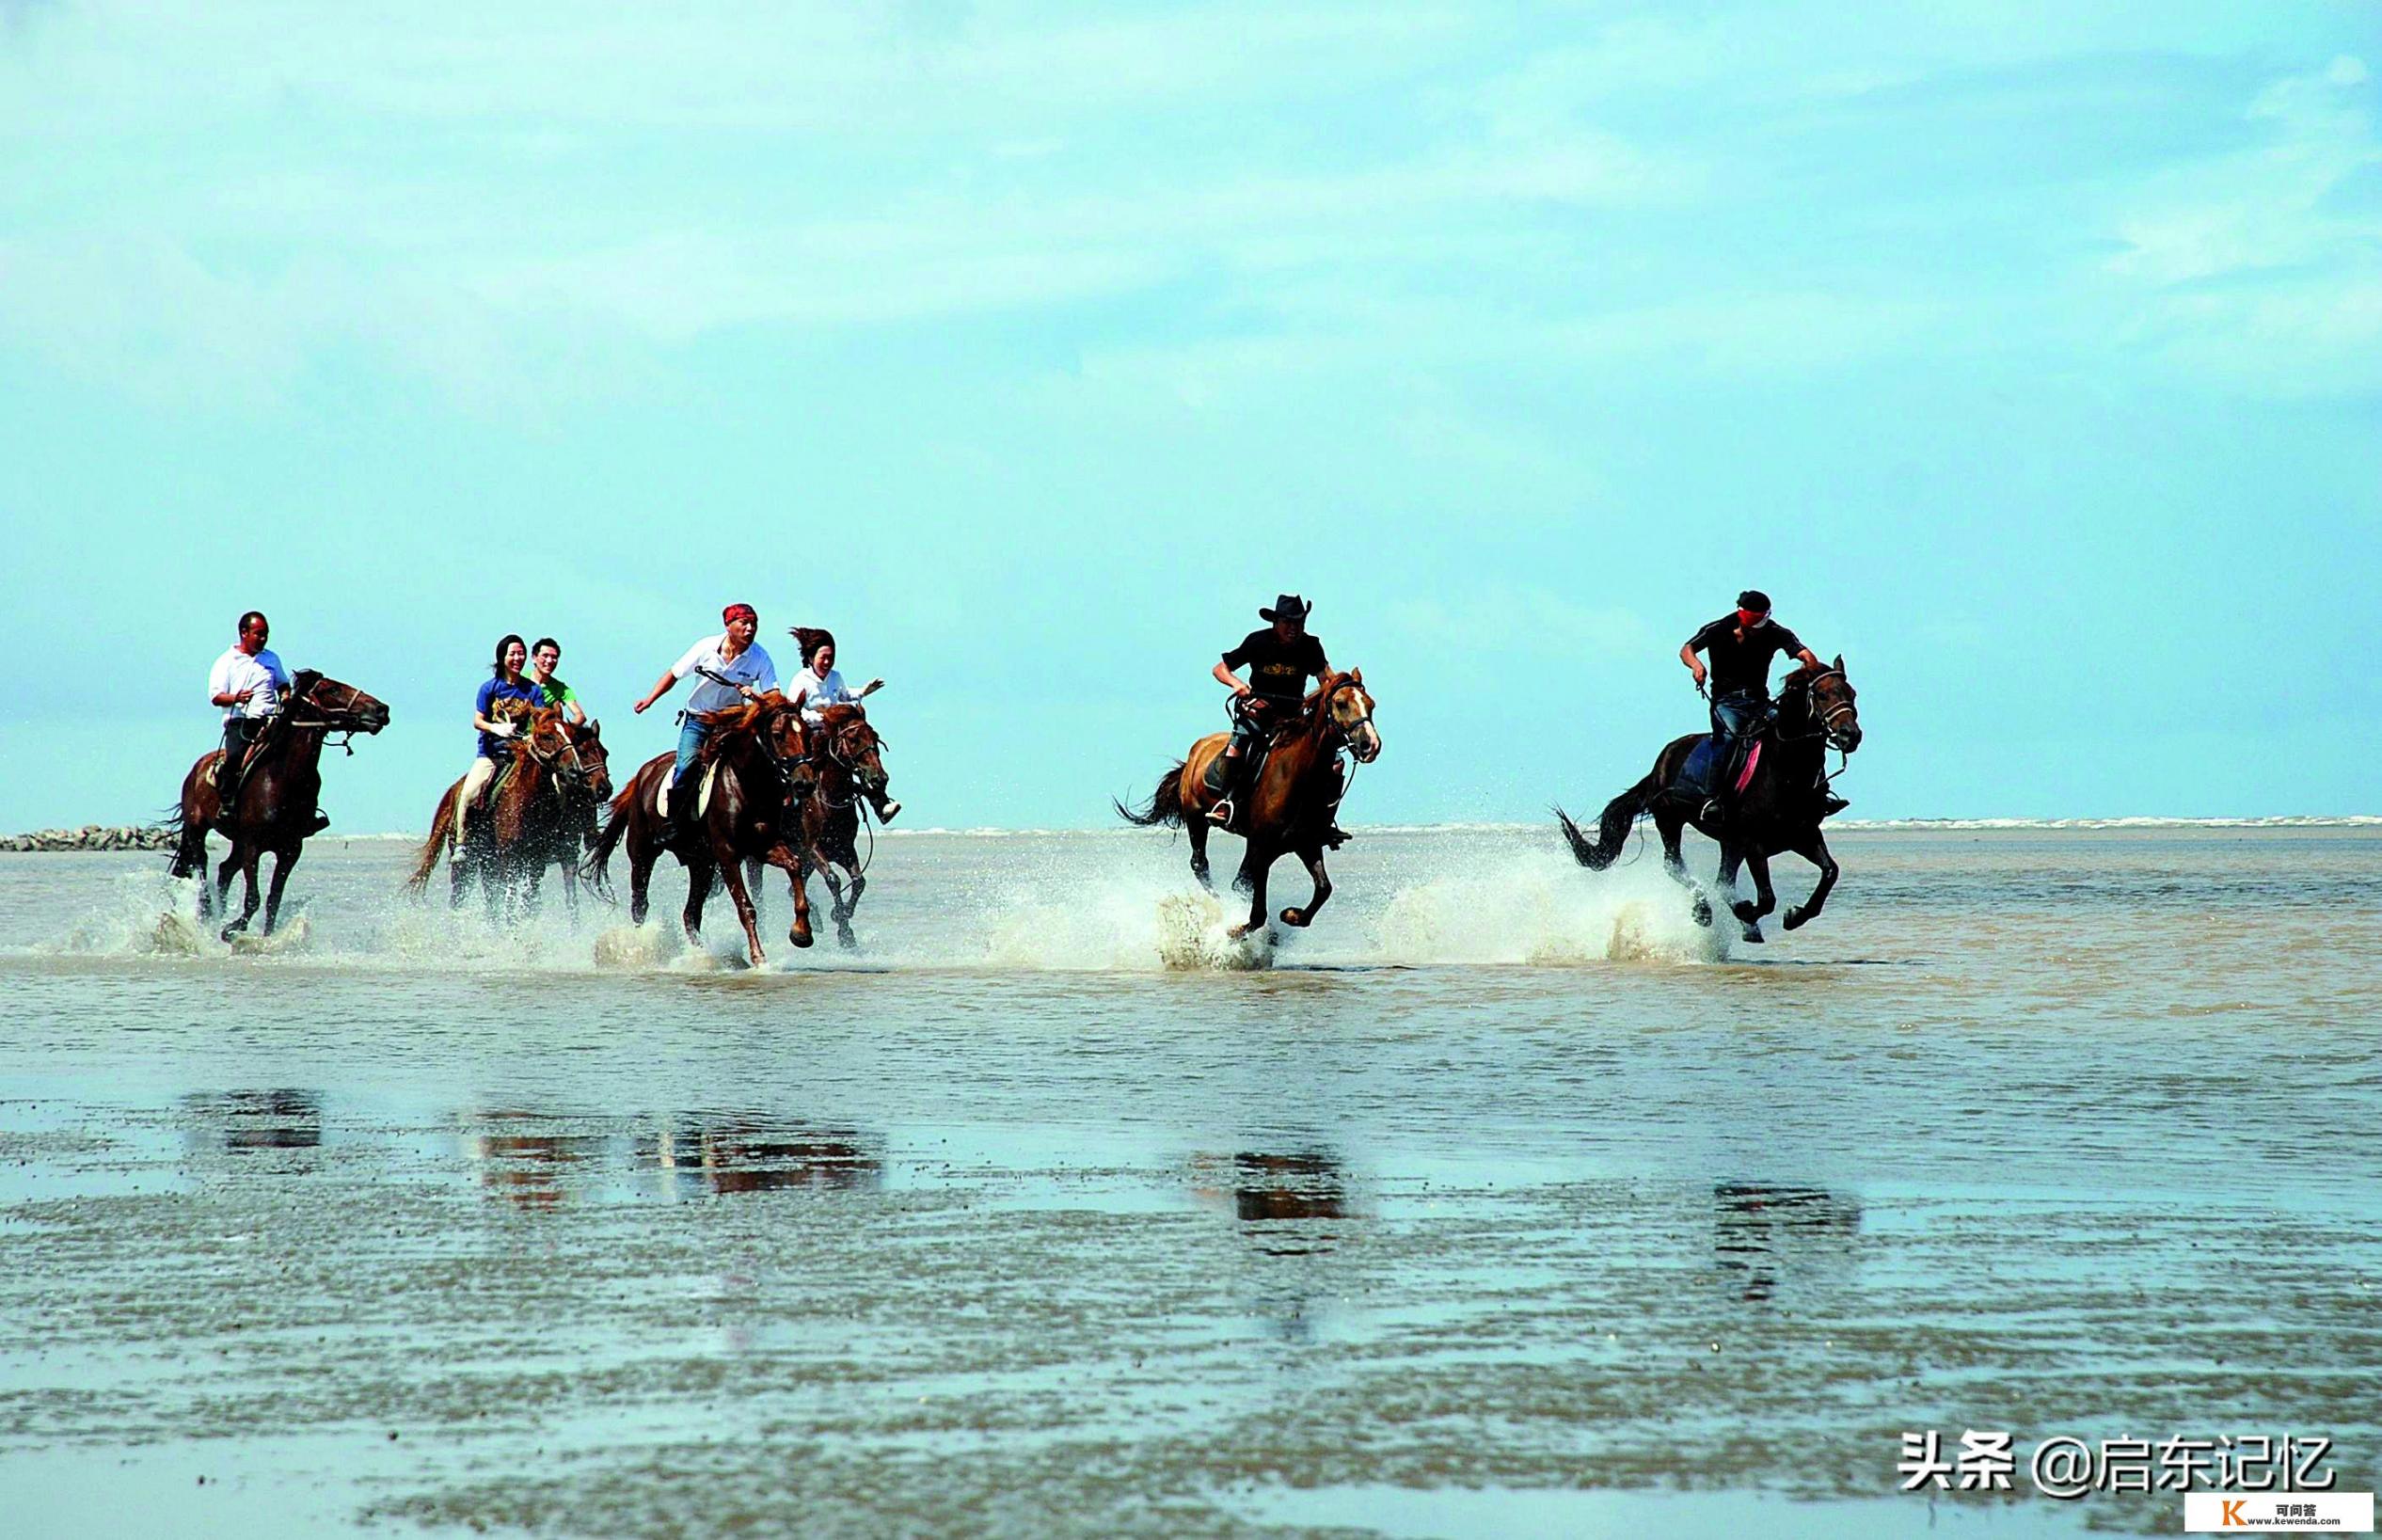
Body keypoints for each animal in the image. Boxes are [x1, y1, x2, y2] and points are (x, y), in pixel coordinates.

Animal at [163, 671, 388, 937]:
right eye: (332, 689)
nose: (381, 710)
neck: (283, 780)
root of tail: (195, 770)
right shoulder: (253, 846)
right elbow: (253, 899)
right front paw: (230, 930)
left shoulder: (289, 849)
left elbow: (273, 900)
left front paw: (263, 937)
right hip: (198, 830)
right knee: (203, 866)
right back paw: (208, 916)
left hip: (237, 842)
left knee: (225, 870)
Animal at [585, 694, 819, 971]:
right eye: (778, 735)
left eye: (807, 733)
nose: (804, 783)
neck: (746, 784)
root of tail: (643, 774)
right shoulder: (728, 855)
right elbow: (745, 907)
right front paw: (759, 957)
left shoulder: (764, 846)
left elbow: (794, 865)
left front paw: (801, 933)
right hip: (643, 854)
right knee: (640, 905)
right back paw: (641, 950)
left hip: (702, 865)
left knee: (690, 914)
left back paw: (701, 956)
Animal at [1120, 671, 1390, 937]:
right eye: (1341, 703)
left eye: (1371, 705)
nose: (1371, 745)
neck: (1298, 776)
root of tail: (1196, 752)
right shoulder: (1261, 845)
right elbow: (1257, 910)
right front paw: (1234, 929)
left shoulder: (1305, 843)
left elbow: (1323, 889)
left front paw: (1291, 915)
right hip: (1196, 818)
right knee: (1200, 864)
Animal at [1552, 652, 1867, 937]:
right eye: (1822, 695)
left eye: (1852, 693)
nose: (1850, 735)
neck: (1787, 771)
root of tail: (1663, 760)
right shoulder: (1754, 844)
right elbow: (1766, 898)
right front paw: (1749, 912)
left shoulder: (1803, 835)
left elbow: (1830, 872)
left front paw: (1794, 916)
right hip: (1670, 821)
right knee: (1676, 867)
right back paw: (1704, 911)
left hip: (1728, 842)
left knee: (1721, 880)